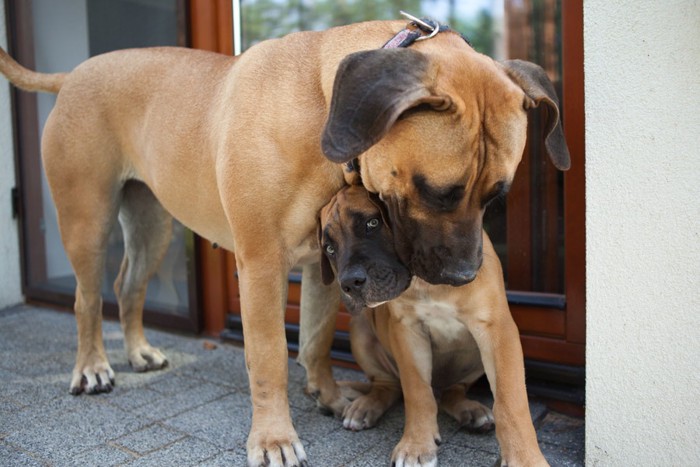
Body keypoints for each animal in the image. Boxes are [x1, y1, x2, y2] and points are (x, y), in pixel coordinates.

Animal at [318, 184, 548, 467]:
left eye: (373, 223)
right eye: (329, 249)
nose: (349, 283)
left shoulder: (496, 329)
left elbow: (510, 400)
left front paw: (524, 457)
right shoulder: (407, 331)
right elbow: (417, 392)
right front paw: (416, 444)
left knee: (452, 391)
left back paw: (470, 410)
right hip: (359, 329)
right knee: (388, 386)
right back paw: (365, 406)